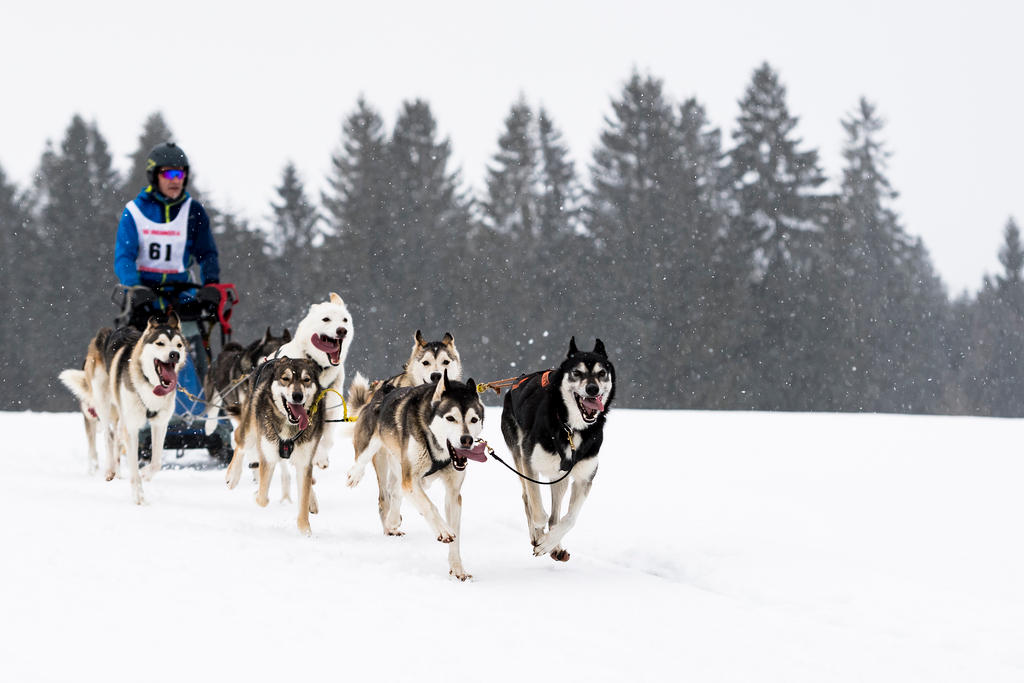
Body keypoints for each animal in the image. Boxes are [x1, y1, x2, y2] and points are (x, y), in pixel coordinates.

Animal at [348, 370, 483, 581]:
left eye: (474, 419)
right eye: (450, 418)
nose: (466, 440)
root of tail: (383, 390)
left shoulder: (453, 494)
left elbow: (455, 533)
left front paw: (457, 568)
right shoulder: (411, 478)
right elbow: (429, 506)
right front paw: (443, 530)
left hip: (399, 465)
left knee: (395, 493)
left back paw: (393, 520)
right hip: (376, 449)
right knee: (368, 468)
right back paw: (356, 475)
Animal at [497, 335, 610, 561]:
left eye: (602, 373)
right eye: (577, 372)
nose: (592, 389)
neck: (571, 428)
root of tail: (517, 381)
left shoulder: (584, 479)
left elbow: (568, 519)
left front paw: (549, 543)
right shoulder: (530, 464)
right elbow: (538, 511)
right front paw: (539, 536)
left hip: (560, 478)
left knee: (556, 516)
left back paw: (555, 547)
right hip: (520, 457)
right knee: (528, 499)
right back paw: (538, 535)